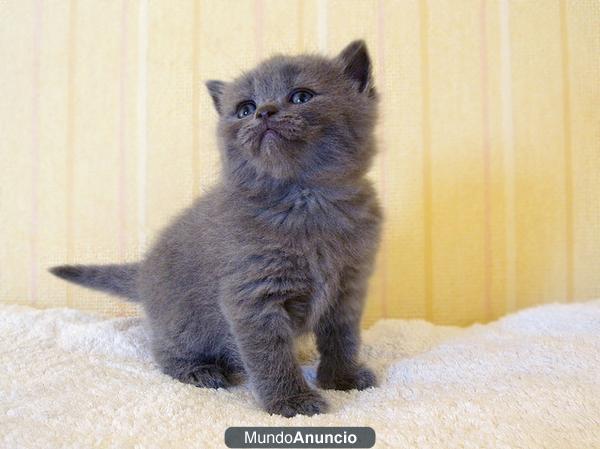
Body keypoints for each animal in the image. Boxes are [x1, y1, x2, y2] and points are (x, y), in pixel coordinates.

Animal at [50, 41, 380, 416]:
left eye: (301, 96)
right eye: (244, 109)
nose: (264, 112)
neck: (306, 200)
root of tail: (143, 271)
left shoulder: (348, 287)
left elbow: (343, 337)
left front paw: (342, 378)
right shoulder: (251, 296)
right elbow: (271, 356)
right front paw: (291, 401)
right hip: (183, 322)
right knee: (164, 351)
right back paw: (201, 371)